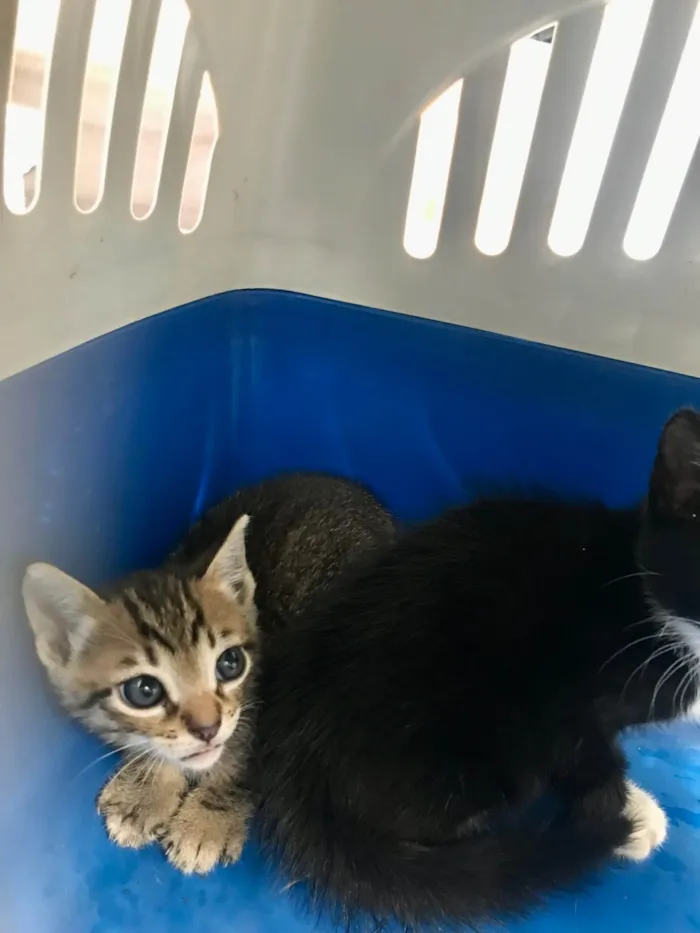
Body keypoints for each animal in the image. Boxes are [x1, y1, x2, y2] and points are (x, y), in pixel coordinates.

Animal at [22, 472, 396, 874]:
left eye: (230, 663)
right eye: (143, 691)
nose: (207, 728)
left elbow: (242, 760)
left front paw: (206, 822)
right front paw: (145, 791)